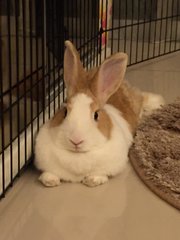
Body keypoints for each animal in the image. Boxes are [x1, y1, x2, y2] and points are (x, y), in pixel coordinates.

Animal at [34, 40, 165, 188]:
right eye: (65, 111)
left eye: (96, 115)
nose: (76, 140)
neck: (78, 155)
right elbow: (49, 173)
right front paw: (50, 181)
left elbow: (101, 174)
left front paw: (92, 180)